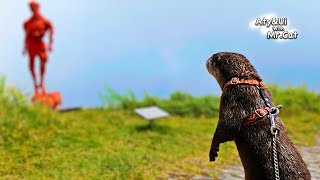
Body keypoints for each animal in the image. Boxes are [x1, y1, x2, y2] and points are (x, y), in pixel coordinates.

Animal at [205, 52, 310, 180]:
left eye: (213, 57)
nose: (207, 60)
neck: (244, 81)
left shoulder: (231, 97)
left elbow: (227, 128)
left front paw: (213, 151)